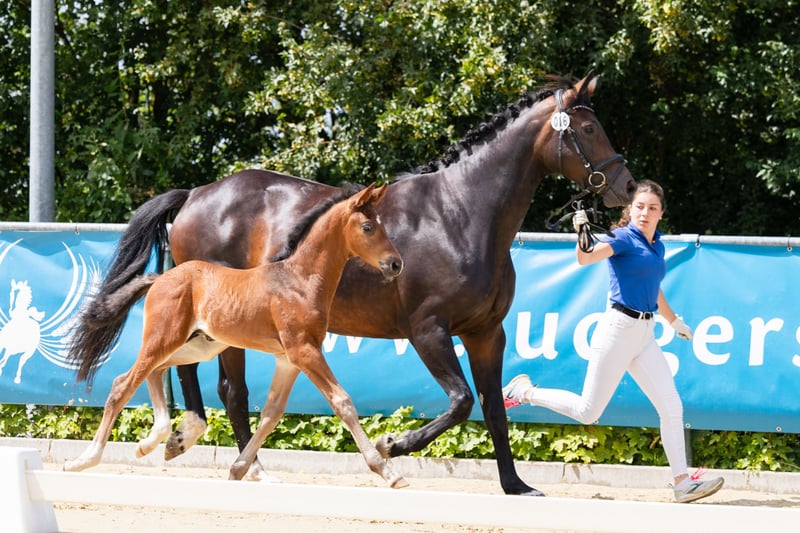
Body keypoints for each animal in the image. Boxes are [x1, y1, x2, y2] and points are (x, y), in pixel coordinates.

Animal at [65, 184, 408, 487]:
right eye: (367, 227)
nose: (395, 264)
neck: (300, 279)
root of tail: (160, 277)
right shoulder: (304, 351)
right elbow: (343, 402)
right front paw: (388, 472)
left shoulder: (288, 359)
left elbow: (271, 413)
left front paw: (239, 469)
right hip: (164, 337)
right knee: (123, 384)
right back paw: (84, 460)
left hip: (200, 345)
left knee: (153, 371)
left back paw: (155, 441)